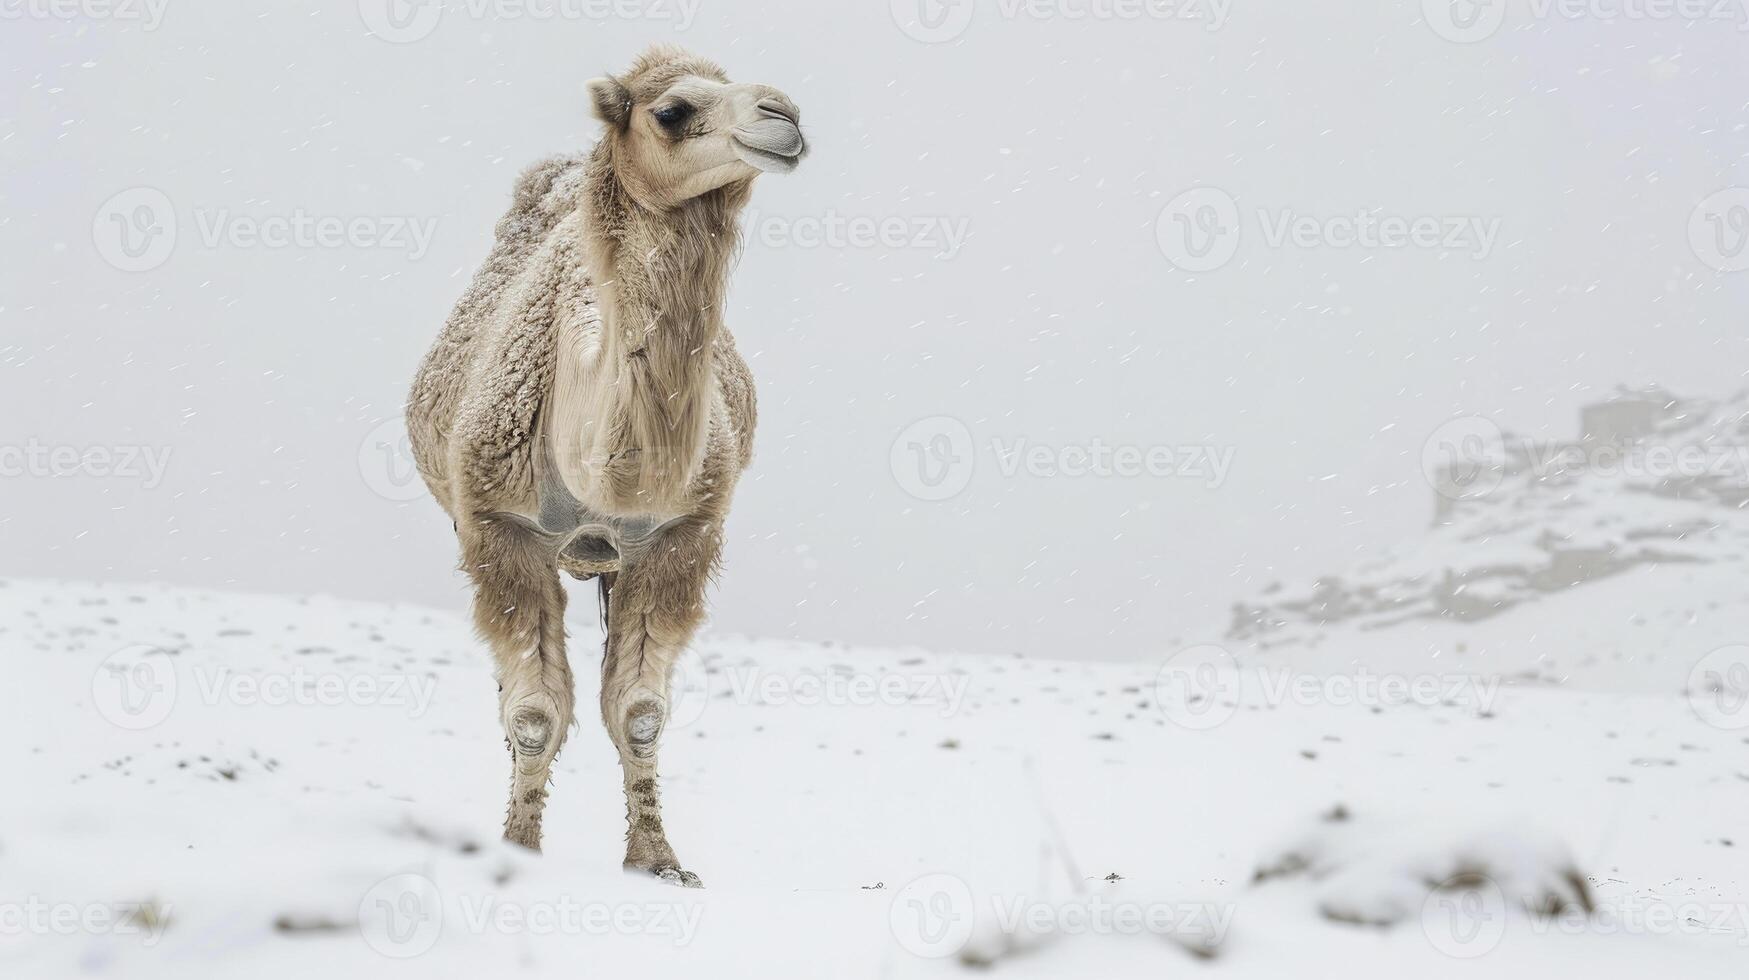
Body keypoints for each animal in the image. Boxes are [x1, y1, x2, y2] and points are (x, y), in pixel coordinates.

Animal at [404, 47, 804, 889]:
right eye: (673, 110)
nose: (783, 116)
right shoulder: (499, 525)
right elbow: (532, 714)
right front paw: (518, 847)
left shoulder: (679, 534)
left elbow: (639, 712)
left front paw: (658, 861)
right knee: (512, 693)